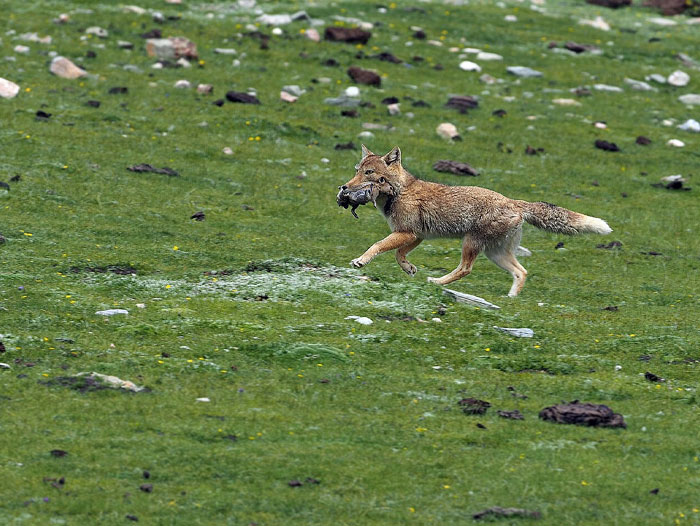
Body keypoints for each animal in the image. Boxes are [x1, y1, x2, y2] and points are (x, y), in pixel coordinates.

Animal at [336, 145, 612, 297]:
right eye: (357, 170)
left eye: (369, 173)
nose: (344, 188)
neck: (400, 191)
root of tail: (514, 202)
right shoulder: (417, 235)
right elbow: (398, 254)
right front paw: (409, 268)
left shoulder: (408, 233)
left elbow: (378, 246)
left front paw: (361, 261)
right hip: (495, 254)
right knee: (521, 272)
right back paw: (511, 299)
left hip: (471, 244)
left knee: (465, 269)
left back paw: (437, 282)